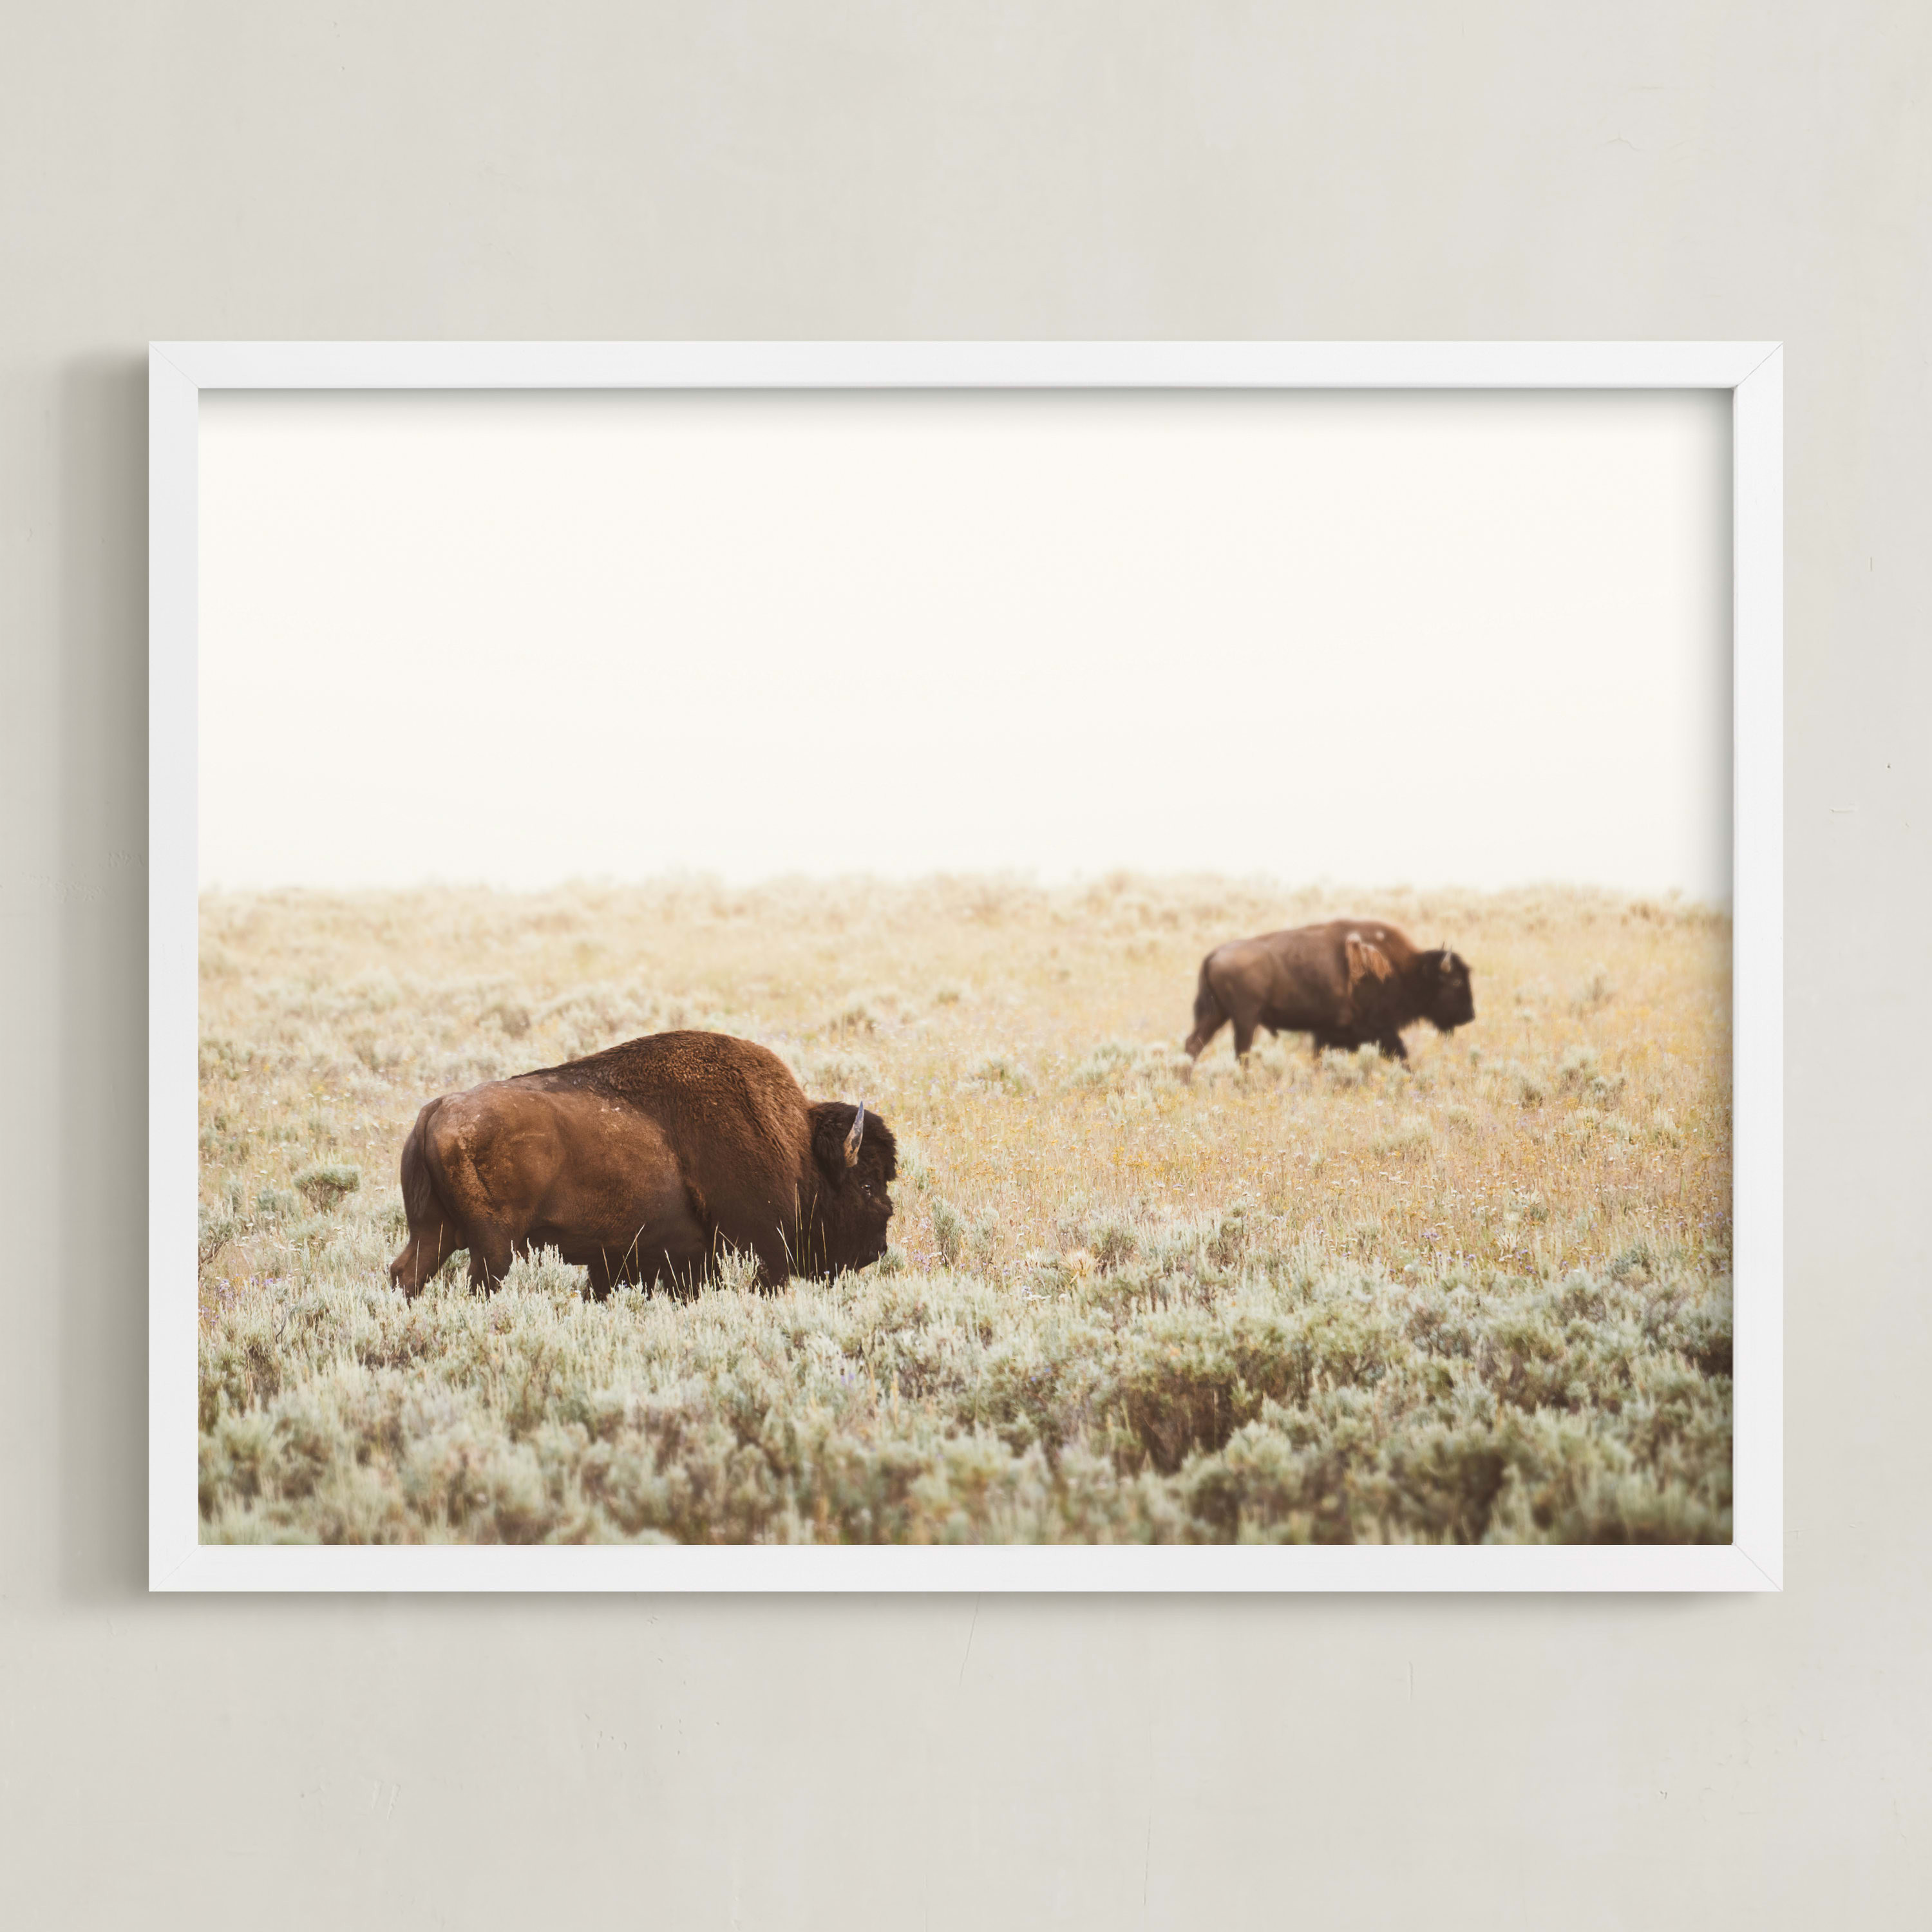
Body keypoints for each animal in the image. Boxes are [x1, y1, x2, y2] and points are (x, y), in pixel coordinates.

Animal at [387, 1030, 898, 1297]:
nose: (878, 1248)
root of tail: (437, 1110)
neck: (796, 1149)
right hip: (495, 1246)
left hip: (432, 1232)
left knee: (405, 1274)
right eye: (868, 1184)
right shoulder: (758, 1250)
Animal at [1184, 919, 1475, 1067]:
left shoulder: (1328, 1034)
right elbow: (1401, 1055)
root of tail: (1214, 955)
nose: (1470, 1015)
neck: (1405, 970)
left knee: (1194, 1045)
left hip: (1217, 1014)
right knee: (1241, 1052)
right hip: (1245, 1018)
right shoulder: (1380, 1030)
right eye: (1456, 982)